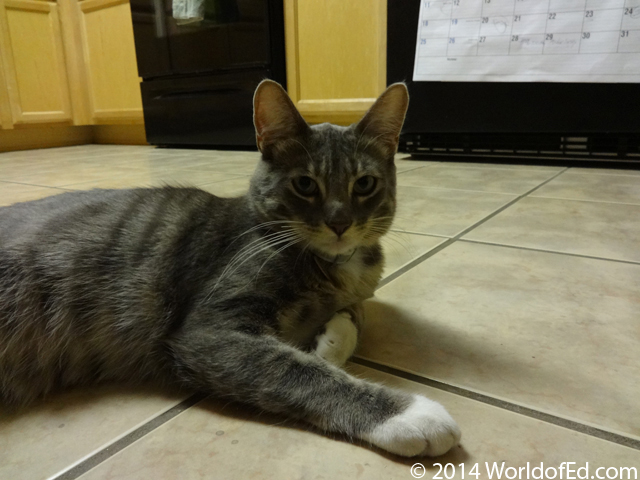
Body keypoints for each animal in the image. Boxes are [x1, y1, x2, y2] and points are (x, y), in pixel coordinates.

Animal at [0, 81, 460, 458]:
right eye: (305, 184)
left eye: (364, 184)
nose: (340, 223)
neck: (331, 263)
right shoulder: (211, 330)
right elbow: (297, 369)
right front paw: (407, 414)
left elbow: (354, 315)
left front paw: (329, 338)